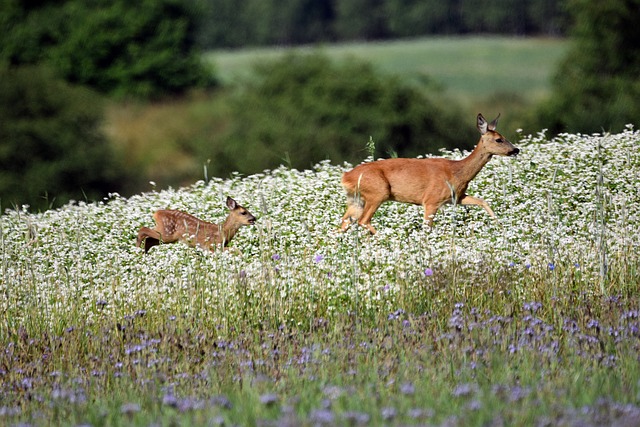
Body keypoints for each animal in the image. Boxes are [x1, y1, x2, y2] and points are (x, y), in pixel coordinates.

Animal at [340, 113, 520, 234]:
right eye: (498, 139)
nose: (516, 149)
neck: (457, 172)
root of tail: (346, 177)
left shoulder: (456, 197)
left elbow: (483, 201)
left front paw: (500, 225)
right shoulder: (431, 200)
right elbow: (427, 228)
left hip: (356, 200)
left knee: (343, 224)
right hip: (378, 192)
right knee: (363, 221)